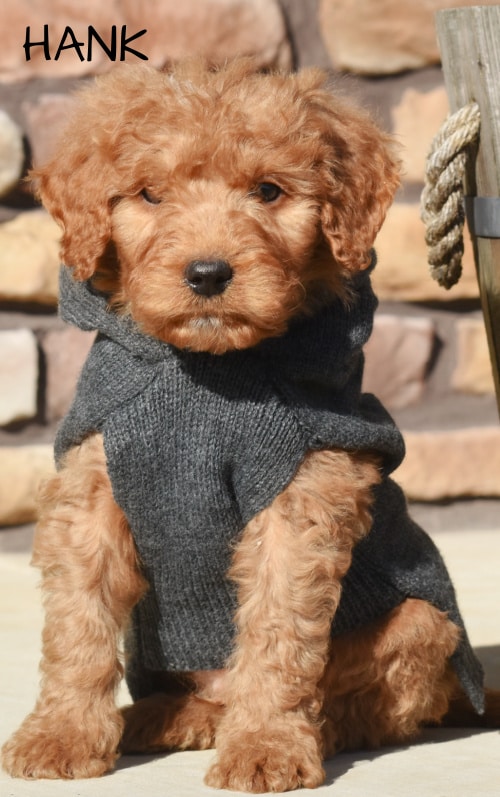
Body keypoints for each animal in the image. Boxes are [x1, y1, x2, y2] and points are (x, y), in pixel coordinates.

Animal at [1, 60, 494, 788]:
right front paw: (59, 734)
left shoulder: (300, 491)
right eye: (150, 195)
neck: (209, 370)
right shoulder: (93, 480)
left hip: (421, 622)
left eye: (269, 191)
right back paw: (166, 715)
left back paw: (299, 729)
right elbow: (77, 623)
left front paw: (266, 745)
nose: (208, 274)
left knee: (371, 705)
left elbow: (278, 632)